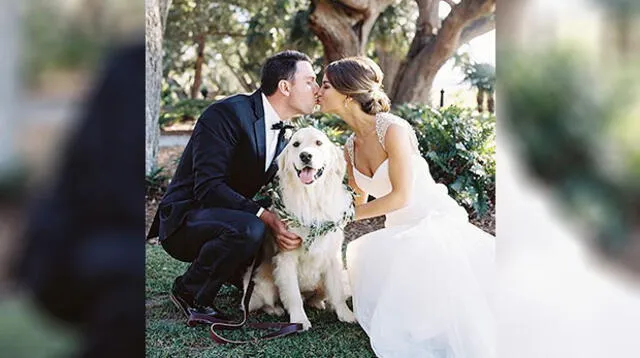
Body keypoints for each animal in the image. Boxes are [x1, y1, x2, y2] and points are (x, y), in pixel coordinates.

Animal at [245, 127, 356, 332]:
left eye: (319, 143)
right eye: (296, 144)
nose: (305, 155)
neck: (311, 199)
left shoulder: (332, 257)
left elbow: (337, 291)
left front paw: (346, 315)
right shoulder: (286, 258)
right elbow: (293, 295)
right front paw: (299, 320)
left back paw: (319, 303)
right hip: (260, 283)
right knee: (266, 301)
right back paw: (275, 309)